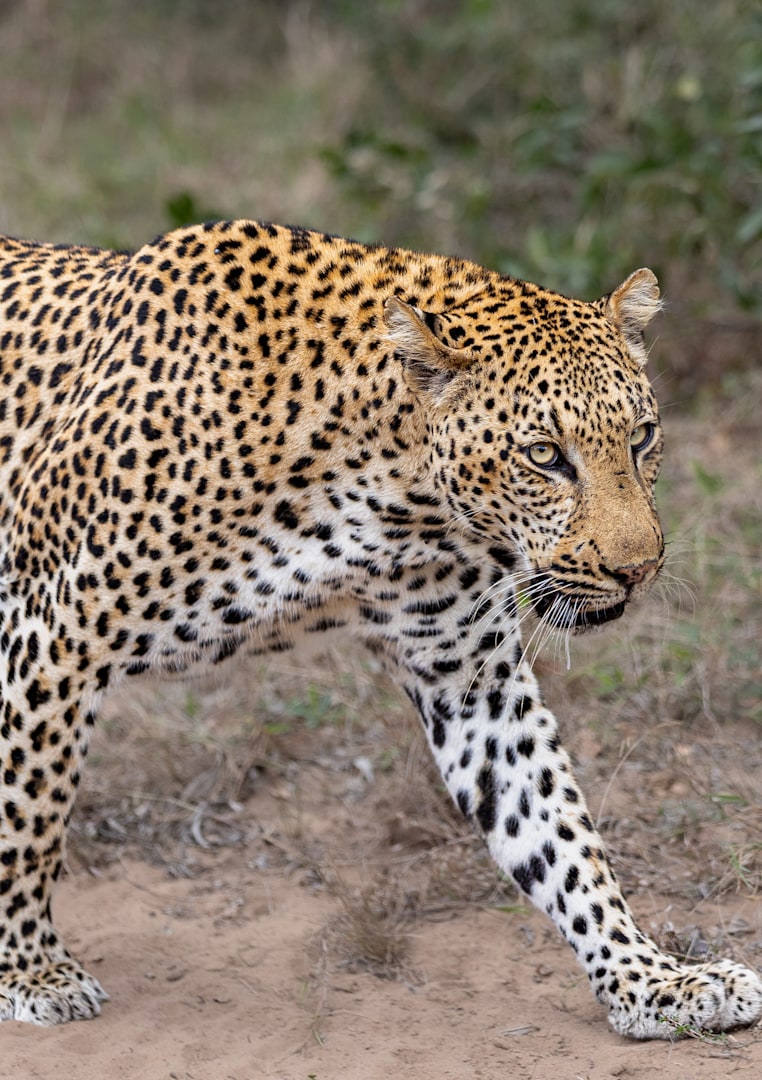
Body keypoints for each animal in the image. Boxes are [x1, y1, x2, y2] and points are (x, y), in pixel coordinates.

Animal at [0, 219, 760, 1039]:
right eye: (544, 455)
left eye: (643, 437)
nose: (638, 569)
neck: (389, 496)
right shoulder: (49, 634)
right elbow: (28, 817)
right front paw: (33, 972)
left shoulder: (471, 679)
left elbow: (559, 833)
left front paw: (652, 981)